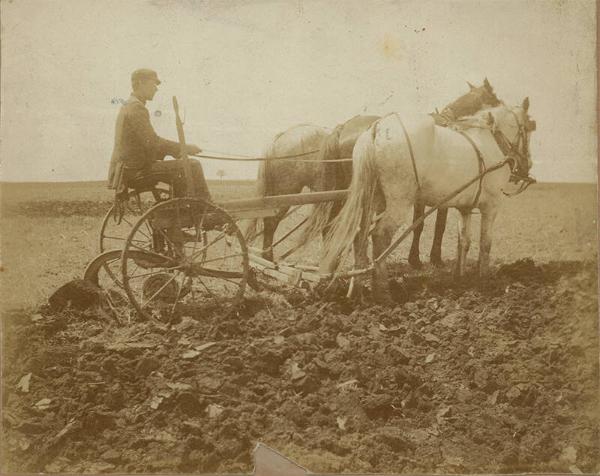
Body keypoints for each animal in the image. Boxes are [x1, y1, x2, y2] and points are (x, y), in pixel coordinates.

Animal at [322, 98, 536, 304]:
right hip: (399, 202)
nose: (527, 166)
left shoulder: (464, 208)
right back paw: (382, 292)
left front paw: (460, 278)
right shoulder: (491, 207)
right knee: (380, 236)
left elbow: (464, 242)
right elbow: (485, 244)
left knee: (359, 236)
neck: (492, 141)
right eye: (528, 127)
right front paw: (483, 280)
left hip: (372, 200)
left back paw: (356, 289)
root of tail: (377, 128)